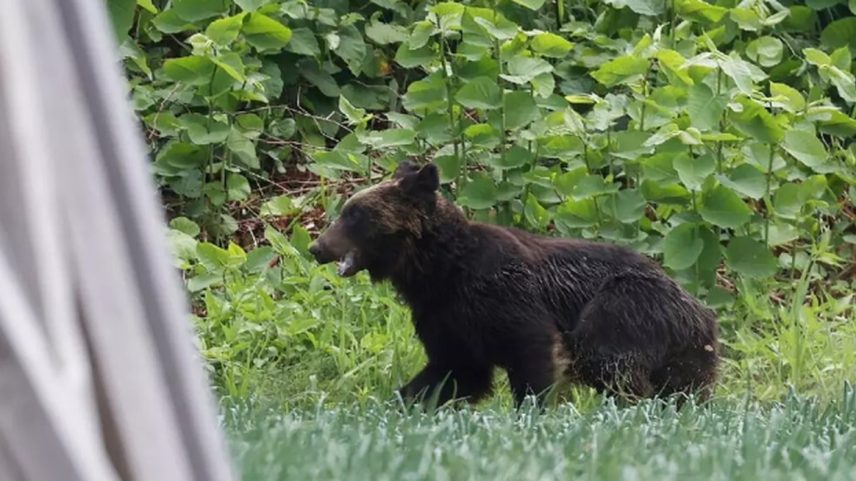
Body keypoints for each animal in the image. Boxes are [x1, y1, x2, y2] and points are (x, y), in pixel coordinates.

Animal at [308, 162, 720, 408]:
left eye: (354, 214)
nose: (316, 247)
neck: (437, 270)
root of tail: (699, 308)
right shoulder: (444, 317)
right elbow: (453, 371)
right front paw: (404, 401)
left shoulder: (503, 296)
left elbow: (532, 351)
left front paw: (533, 411)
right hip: (688, 354)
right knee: (684, 388)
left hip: (625, 306)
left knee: (608, 360)